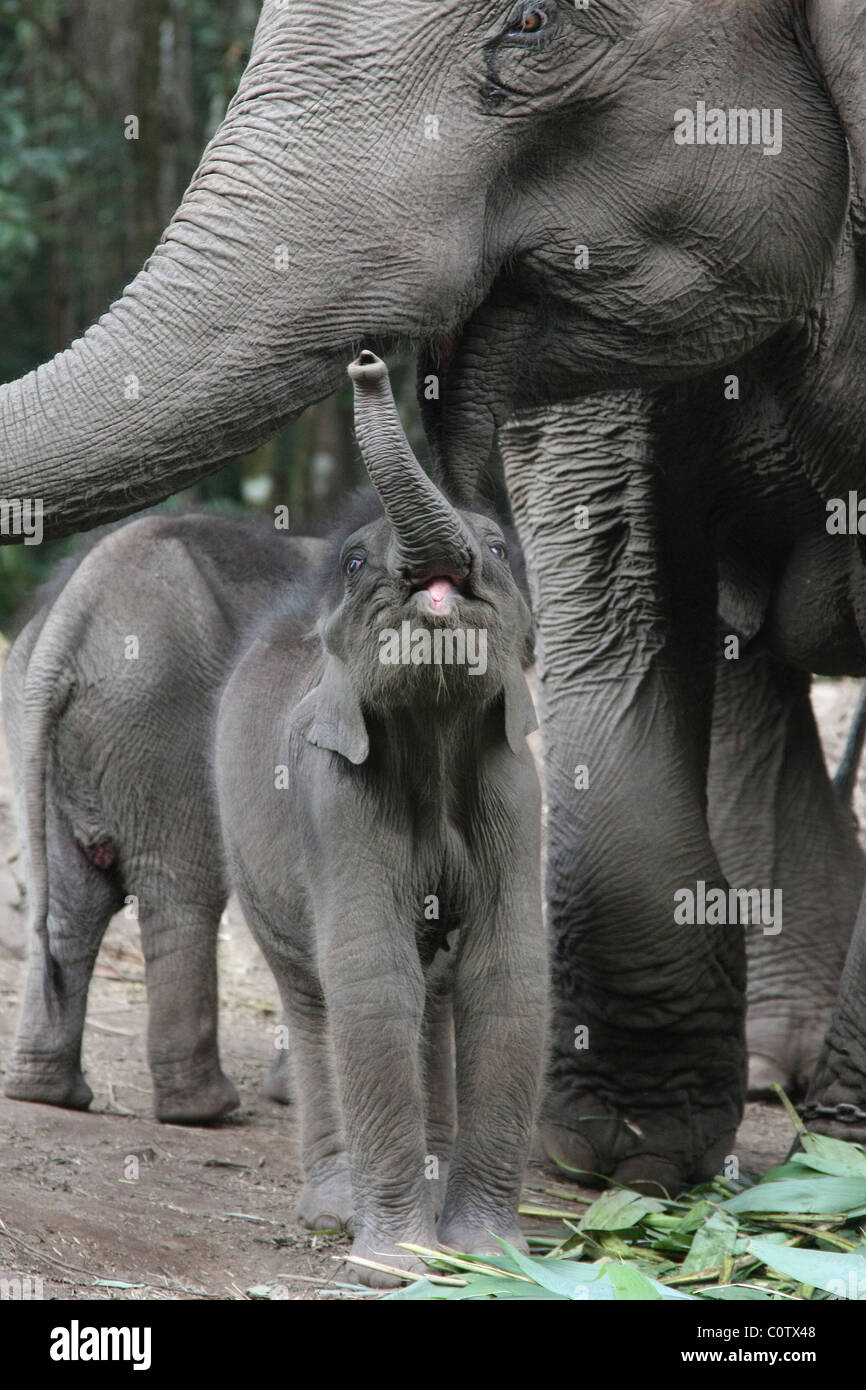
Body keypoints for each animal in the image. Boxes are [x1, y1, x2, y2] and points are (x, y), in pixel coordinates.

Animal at [215, 353, 547, 1284]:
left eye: (498, 548)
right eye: (358, 562)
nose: (365, 362)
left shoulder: (517, 791)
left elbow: (505, 974)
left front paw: (490, 1256)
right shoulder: (333, 799)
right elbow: (371, 976)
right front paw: (397, 1266)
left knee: (433, 991)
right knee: (312, 996)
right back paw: (333, 1210)